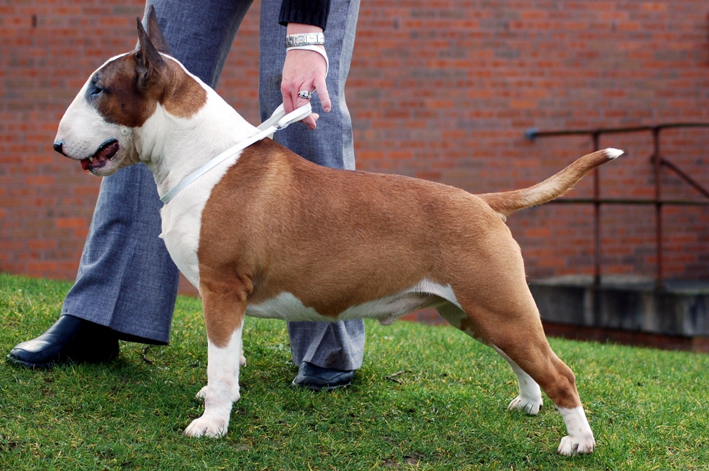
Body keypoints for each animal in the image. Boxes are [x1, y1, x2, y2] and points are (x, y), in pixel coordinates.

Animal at [53, 8, 622, 455]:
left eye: (99, 89)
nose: (57, 146)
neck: (200, 157)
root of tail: (484, 202)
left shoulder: (222, 287)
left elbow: (220, 363)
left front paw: (211, 423)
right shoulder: (227, 299)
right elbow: (228, 359)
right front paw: (220, 400)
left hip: (498, 303)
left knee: (560, 371)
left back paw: (579, 441)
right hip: (473, 310)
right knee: (521, 360)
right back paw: (527, 402)